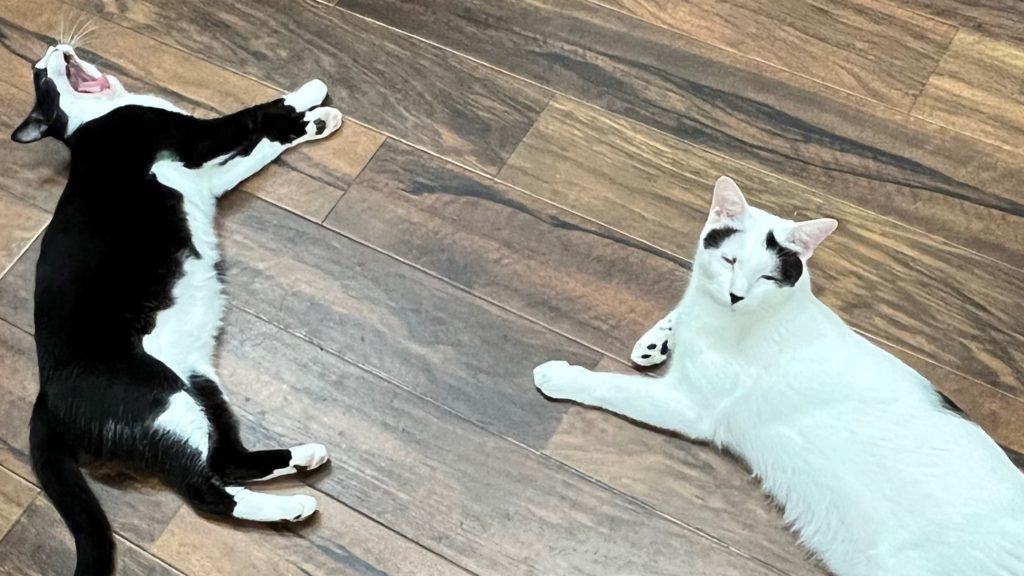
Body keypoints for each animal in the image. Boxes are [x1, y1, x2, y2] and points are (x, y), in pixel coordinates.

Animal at [13, 43, 342, 576]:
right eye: (41, 77)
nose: (53, 48)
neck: (98, 115)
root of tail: (45, 395)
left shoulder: (210, 177)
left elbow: (260, 149)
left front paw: (315, 122)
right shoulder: (193, 137)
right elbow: (252, 116)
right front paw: (311, 97)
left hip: (199, 385)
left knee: (227, 460)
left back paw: (304, 458)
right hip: (164, 397)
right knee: (206, 492)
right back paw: (295, 505)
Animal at [533, 177, 1024, 576]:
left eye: (767, 277)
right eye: (730, 261)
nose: (735, 296)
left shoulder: (691, 406)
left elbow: (613, 386)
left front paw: (561, 376)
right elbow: (684, 307)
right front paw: (659, 339)